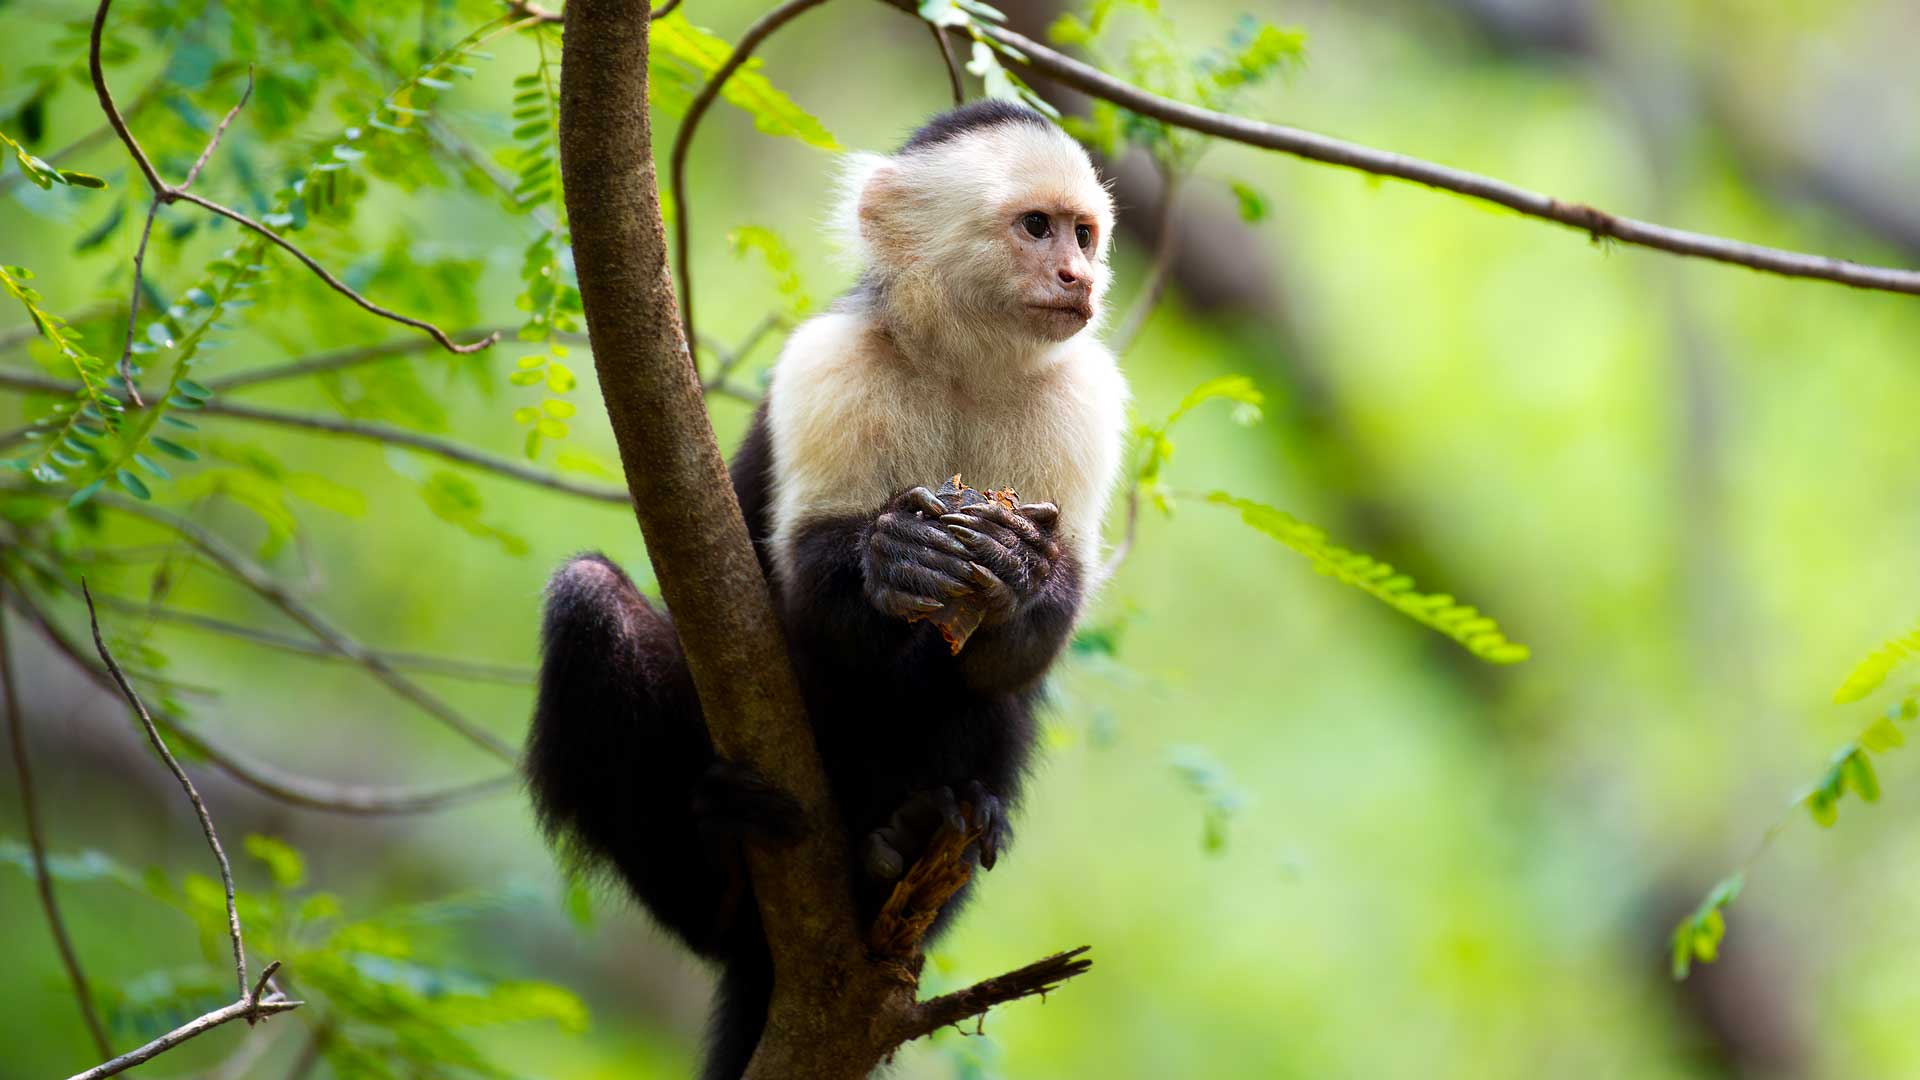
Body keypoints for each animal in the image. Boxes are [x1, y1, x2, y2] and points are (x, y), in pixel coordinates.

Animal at [526, 102, 1121, 1076]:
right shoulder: (832, 361)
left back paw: (915, 838)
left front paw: (1020, 571)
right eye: (1036, 228)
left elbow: (1028, 642)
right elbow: (809, 594)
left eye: (1084, 234)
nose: (1080, 276)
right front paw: (898, 557)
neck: (964, 366)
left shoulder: (1086, 396)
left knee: (988, 712)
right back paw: (720, 870)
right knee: (587, 599)